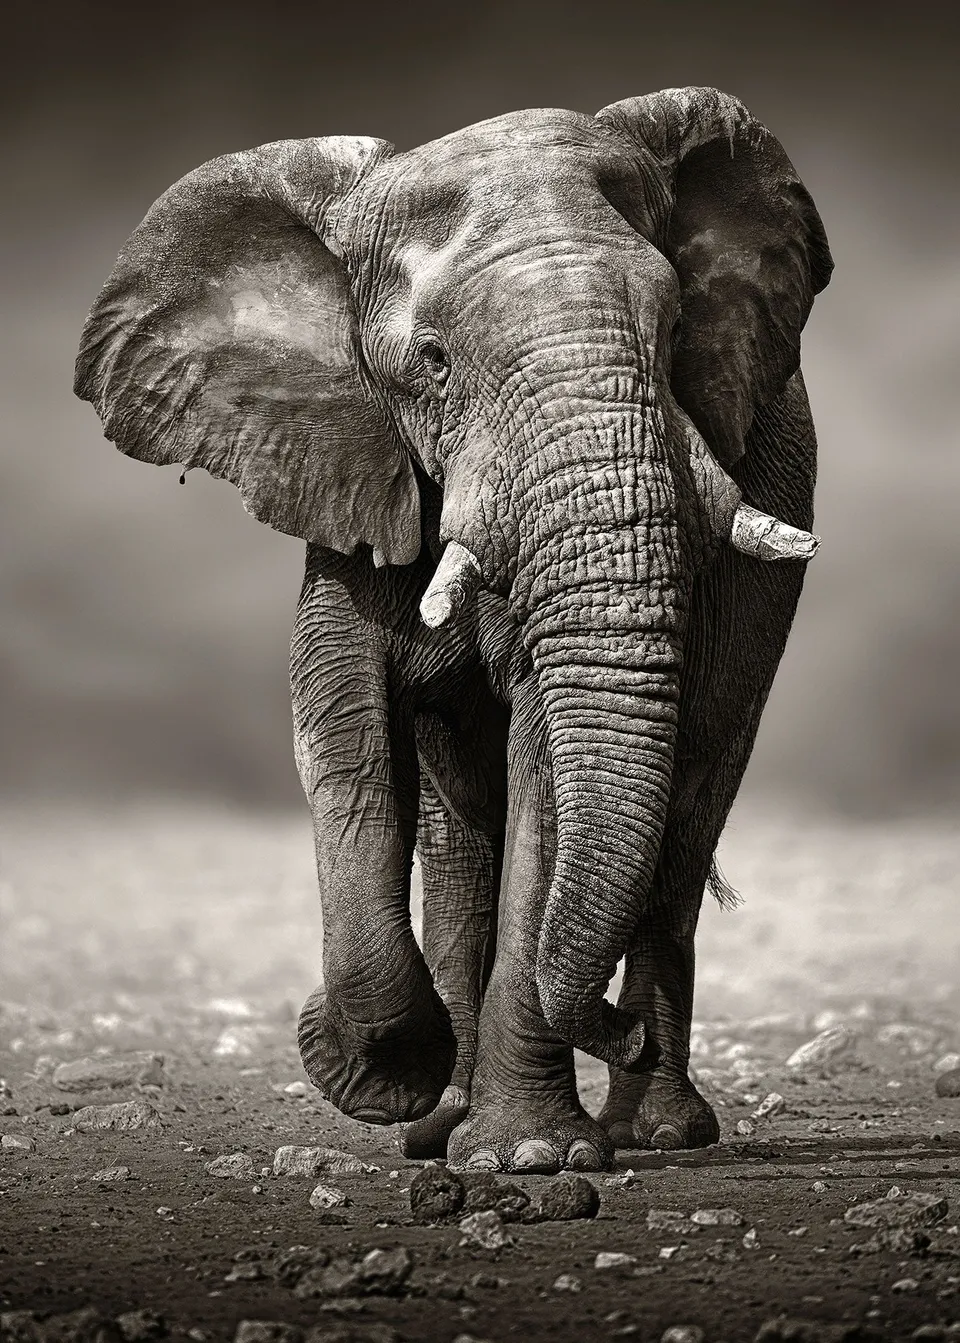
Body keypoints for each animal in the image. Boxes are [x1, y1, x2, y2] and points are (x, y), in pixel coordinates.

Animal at [75, 86, 832, 1173]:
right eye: (431, 364)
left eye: (678, 325)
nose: (613, 1029)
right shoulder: (350, 464)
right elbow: (342, 728)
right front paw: (384, 1073)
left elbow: (546, 758)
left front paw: (532, 1157)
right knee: (462, 839)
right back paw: (446, 1121)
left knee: (685, 812)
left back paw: (652, 1129)